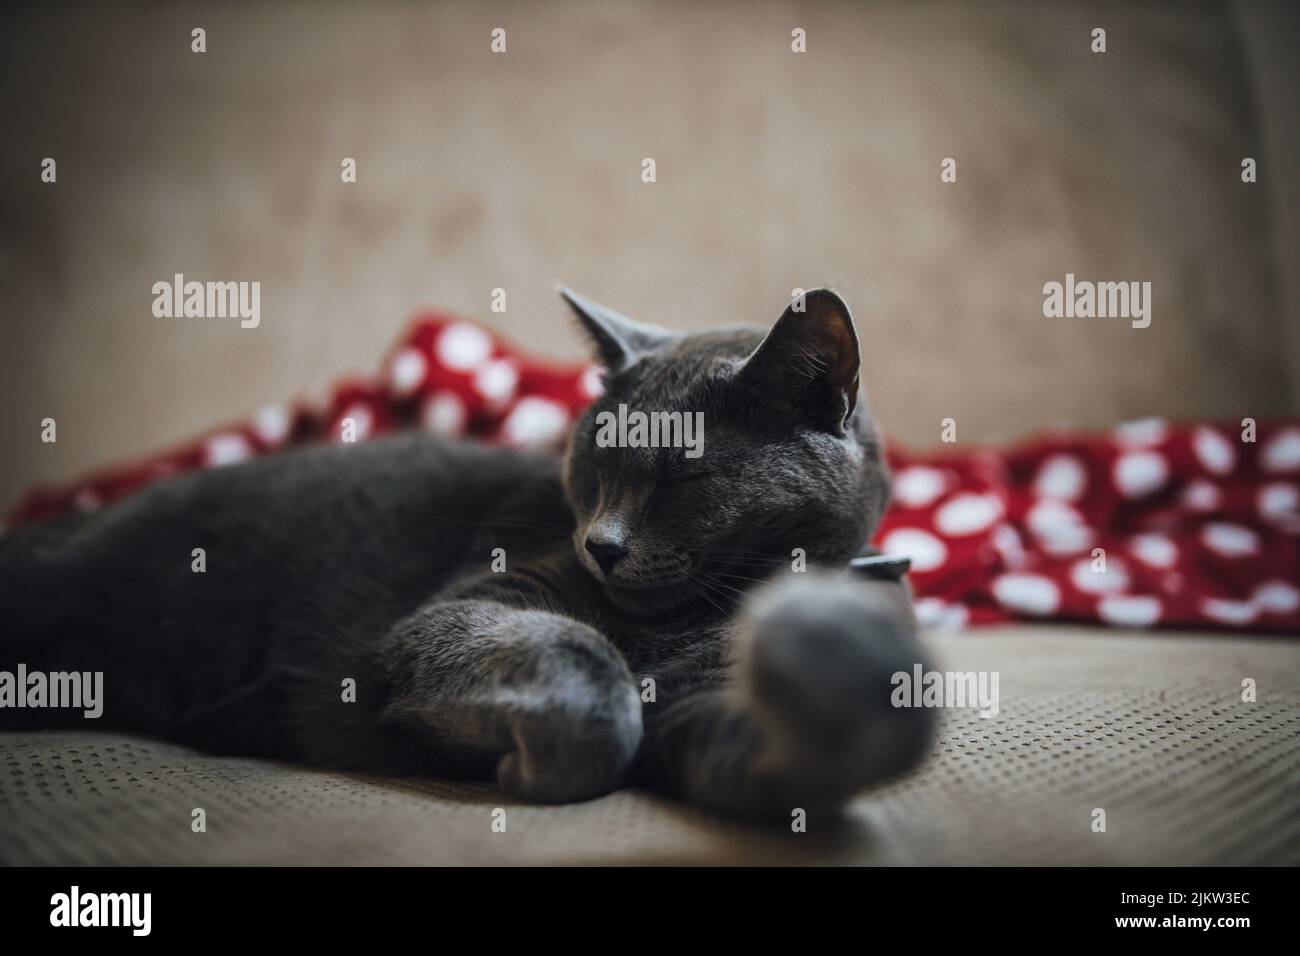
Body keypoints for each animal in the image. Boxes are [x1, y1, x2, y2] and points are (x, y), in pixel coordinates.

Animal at [0, 287, 935, 816]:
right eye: (592, 463)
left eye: (683, 473)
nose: (600, 544)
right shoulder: (465, 611)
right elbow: (587, 674)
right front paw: (528, 769)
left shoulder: (703, 709)